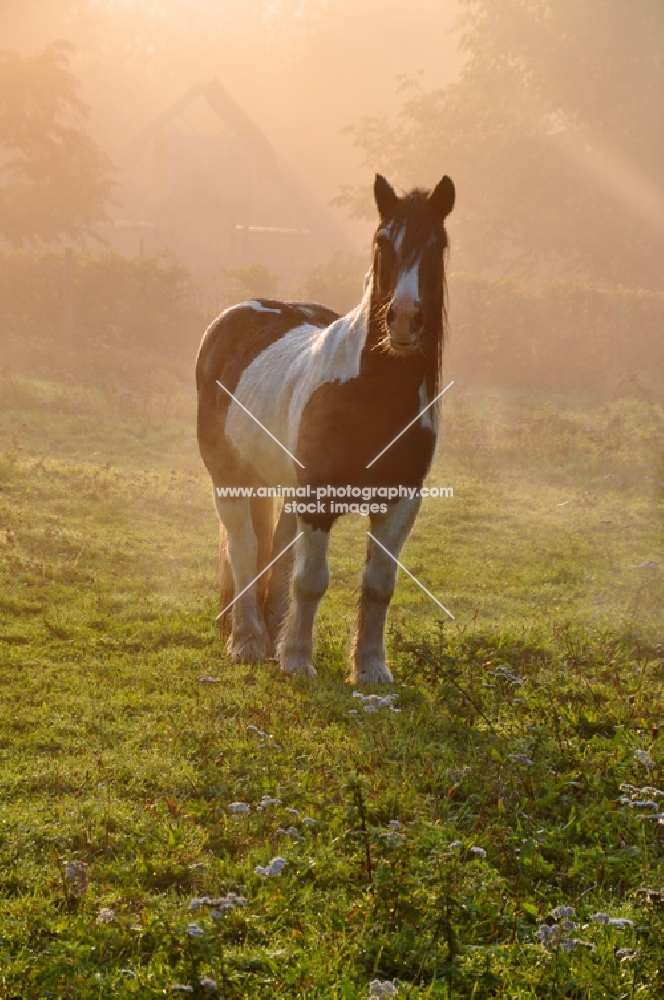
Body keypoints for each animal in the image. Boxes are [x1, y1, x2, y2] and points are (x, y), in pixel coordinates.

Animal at [197, 176, 454, 684]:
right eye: (382, 241)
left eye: (438, 244)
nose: (404, 319)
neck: (374, 395)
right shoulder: (318, 496)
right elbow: (311, 579)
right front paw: (298, 659)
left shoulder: (401, 502)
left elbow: (378, 585)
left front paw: (370, 668)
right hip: (230, 479)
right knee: (244, 550)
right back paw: (248, 641)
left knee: (275, 551)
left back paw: (271, 632)